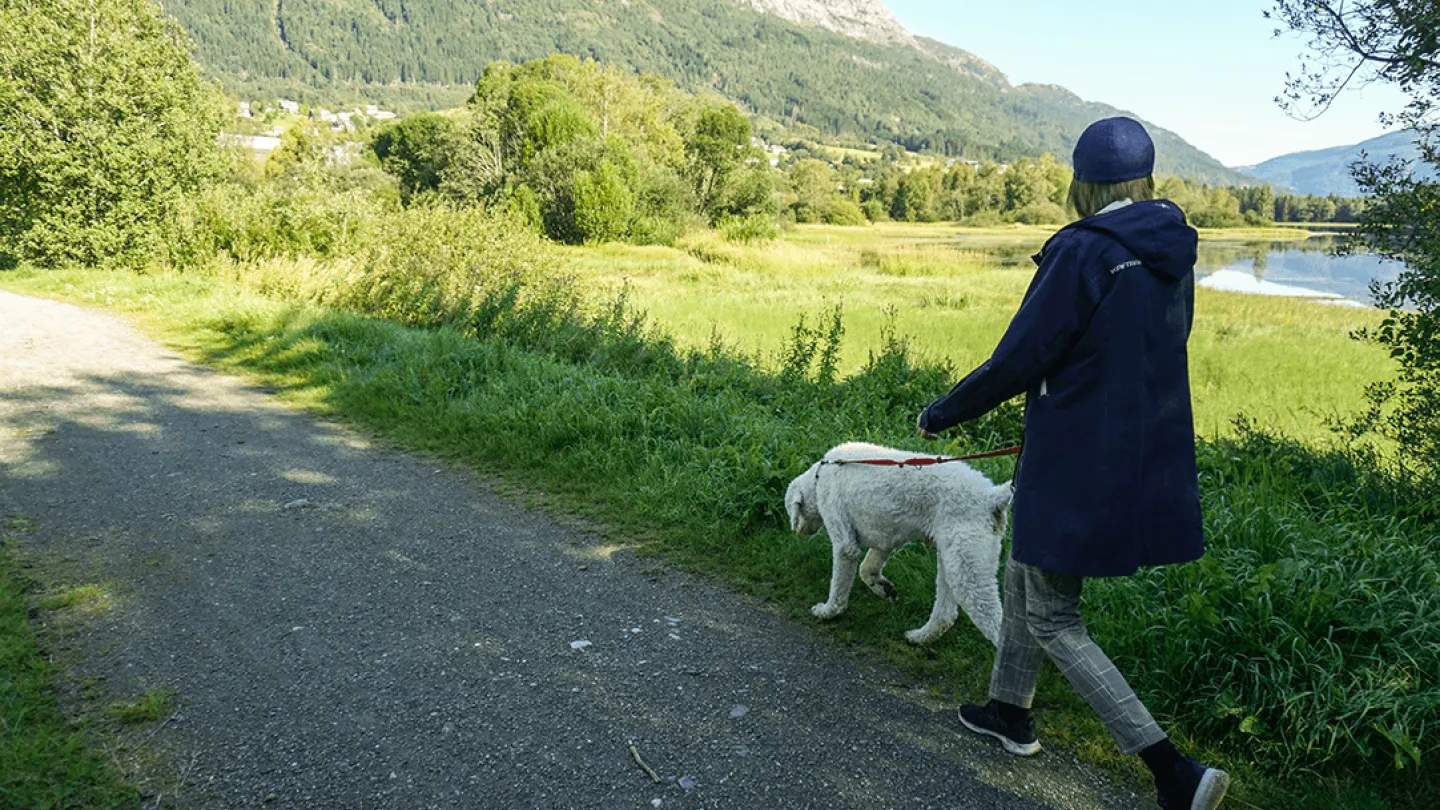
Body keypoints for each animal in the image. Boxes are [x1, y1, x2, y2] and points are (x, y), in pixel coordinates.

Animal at [789, 441, 1013, 642]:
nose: (798, 532)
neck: (819, 477)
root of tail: (991, 498)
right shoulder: (885, 539)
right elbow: (866, 568)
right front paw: (883, 588)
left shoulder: (844, 539)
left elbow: (841, 581)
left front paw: (829, 611)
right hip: (954, 562)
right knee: (946, 616)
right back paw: (920, 637)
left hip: (968, 571)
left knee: (995, 623)